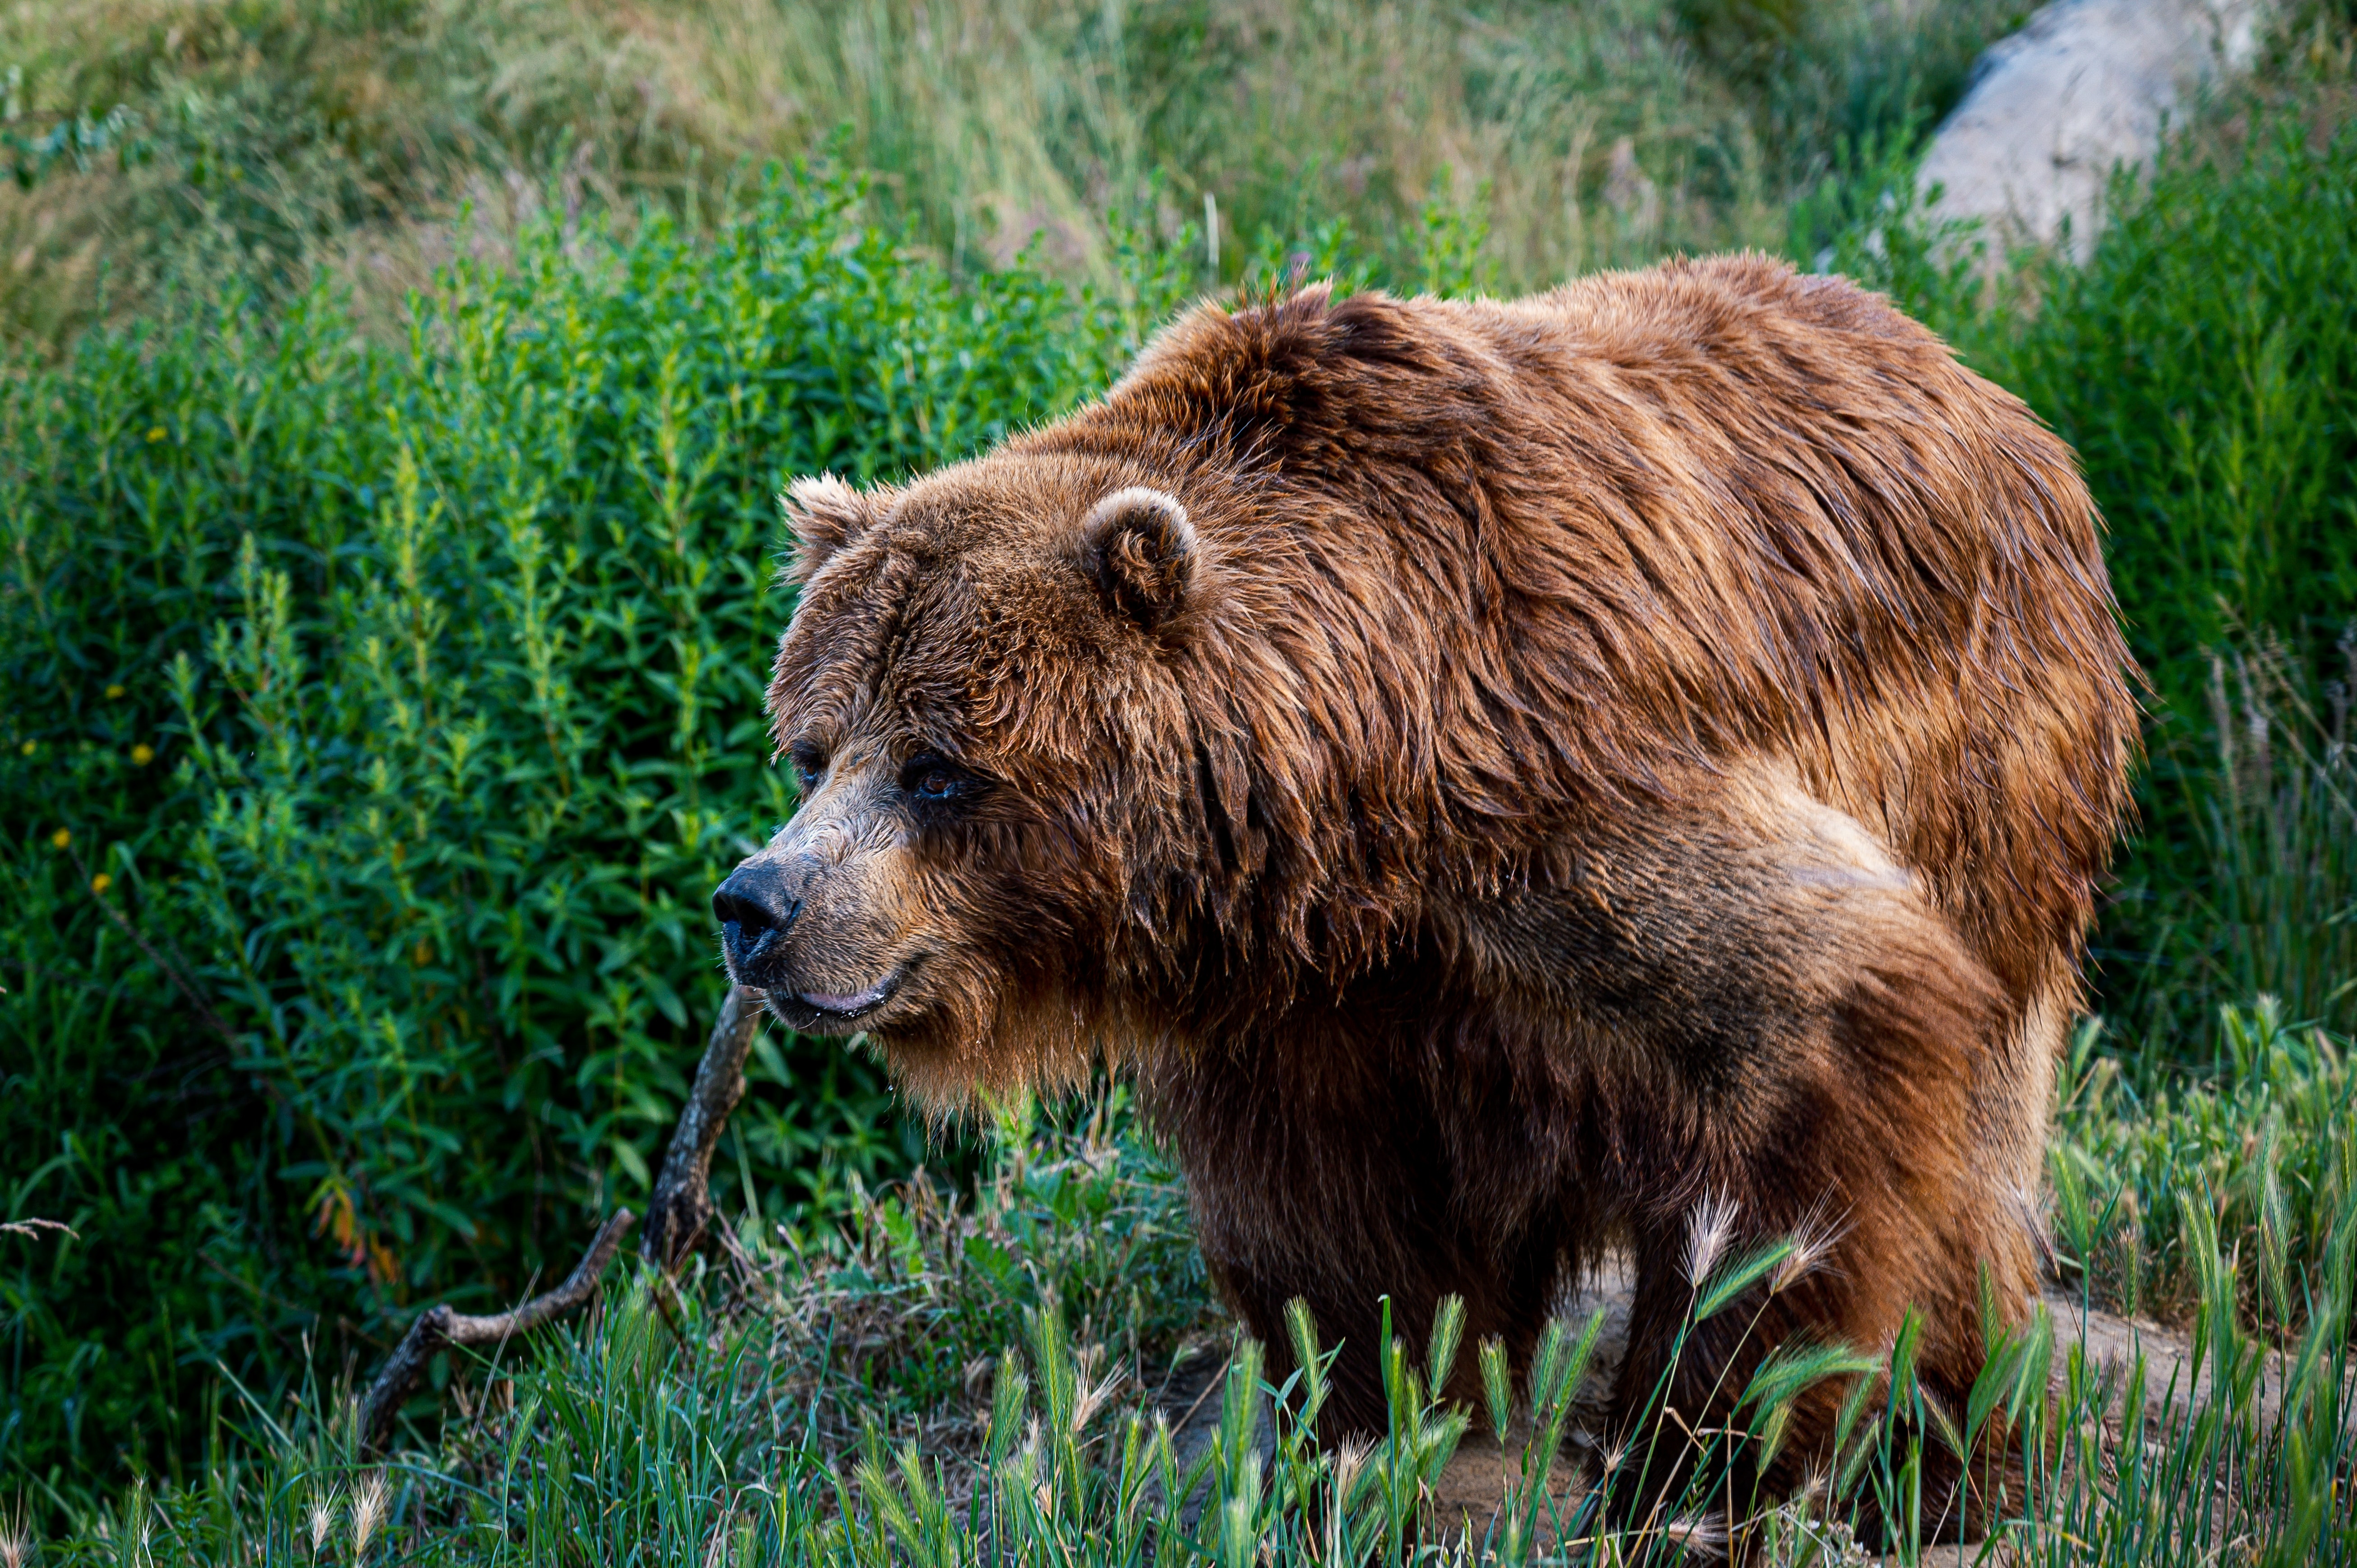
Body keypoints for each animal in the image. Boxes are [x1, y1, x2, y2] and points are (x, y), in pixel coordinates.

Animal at [711, 253, 2140, 1528]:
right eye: (812, 747)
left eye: (938, 767)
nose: (759, 902)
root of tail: (1986, 391)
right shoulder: (1320, 1010)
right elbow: (1343, 1253)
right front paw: (1371, 1443)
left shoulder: (1564, 789)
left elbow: (1811, 1036)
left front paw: (1690, 1462)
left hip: (1992, 769)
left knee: (1967, 1164)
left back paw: (1941, 1456)